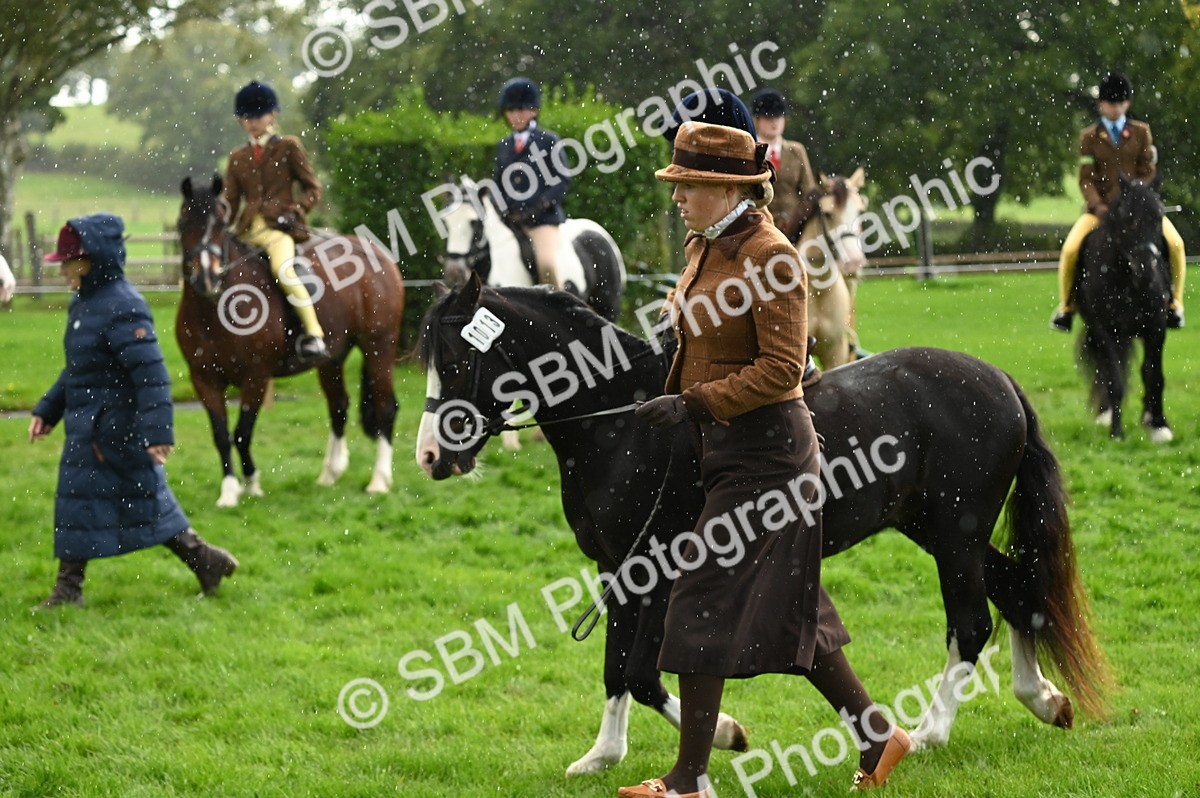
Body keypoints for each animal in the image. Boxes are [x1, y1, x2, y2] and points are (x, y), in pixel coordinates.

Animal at [176, 176, 405, 507]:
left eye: (220, 223)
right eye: (183, 223)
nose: (206, 278)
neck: (215, 309)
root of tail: (376, 252)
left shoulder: (256, 376)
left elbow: (242, 431)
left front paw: (252, 483)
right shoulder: (203, 379)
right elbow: (221, 435)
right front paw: (229, 492)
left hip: (379, 346)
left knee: (386, 407)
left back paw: (379, 481)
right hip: (332, 358)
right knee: (339, 405)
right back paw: (329, 475)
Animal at [415, 274, 1112, 776]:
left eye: (457, 362)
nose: (429, 456)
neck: (623, 426)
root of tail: (999, 381)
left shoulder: (660, 571)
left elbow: (641, 673)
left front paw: (726, 733)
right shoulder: (618, 568)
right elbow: (616, 671)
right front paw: (602, 756)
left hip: (956, 536)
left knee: (971, 623)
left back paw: (930, 733)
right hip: (935, 528)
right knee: (1019, 591)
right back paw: (1043, 699)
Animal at [1075, 175, 1173, 442]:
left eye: (1159, 216)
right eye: (1127, 219)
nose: (1146, 271)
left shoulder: (1156, 329)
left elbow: (1154, 376)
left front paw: (1158, 425)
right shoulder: (1107, 331)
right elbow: (1115, 379)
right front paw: (1117, 431)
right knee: (1106, 369)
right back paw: (1106, 414)